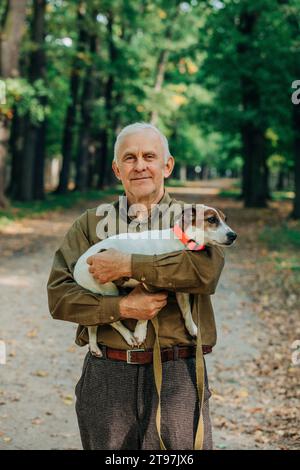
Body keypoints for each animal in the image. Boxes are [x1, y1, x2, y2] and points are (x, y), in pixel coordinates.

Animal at [73, 205, 237, 356]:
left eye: (225, 219)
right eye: (212, 219)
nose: (234, 235)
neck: (181, 240)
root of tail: (76, 268)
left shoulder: (180, 290)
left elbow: (186, 311)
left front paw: (193, 329)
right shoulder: (149, 286)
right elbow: (146, 315)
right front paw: (140, 333)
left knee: (92, 324)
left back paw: (94, 346)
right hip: (107, 290)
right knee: (112, 319)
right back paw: (129, 336)